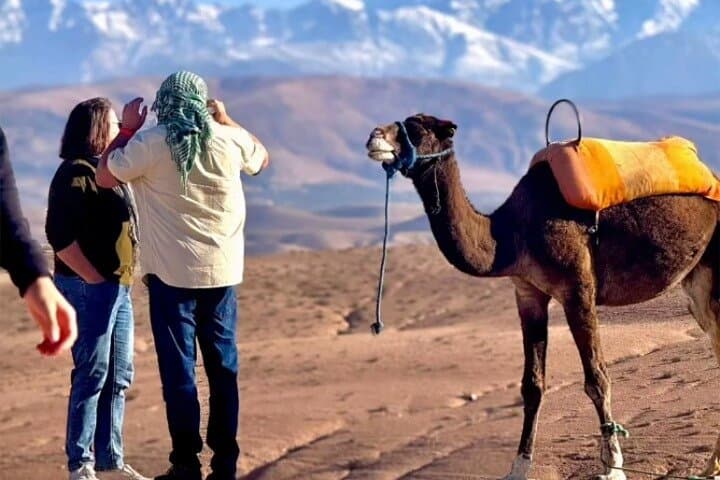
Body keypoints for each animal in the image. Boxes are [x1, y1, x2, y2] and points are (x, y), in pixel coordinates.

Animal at [365, 113, 720, 480]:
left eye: (417, 129)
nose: (374, 137)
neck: (509, 235)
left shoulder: (578, 288)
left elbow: (597, 378)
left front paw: (613, 467)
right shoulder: (528, 292)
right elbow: (532, 385)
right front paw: (519, 467)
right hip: (697, 281)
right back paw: (709, 467)